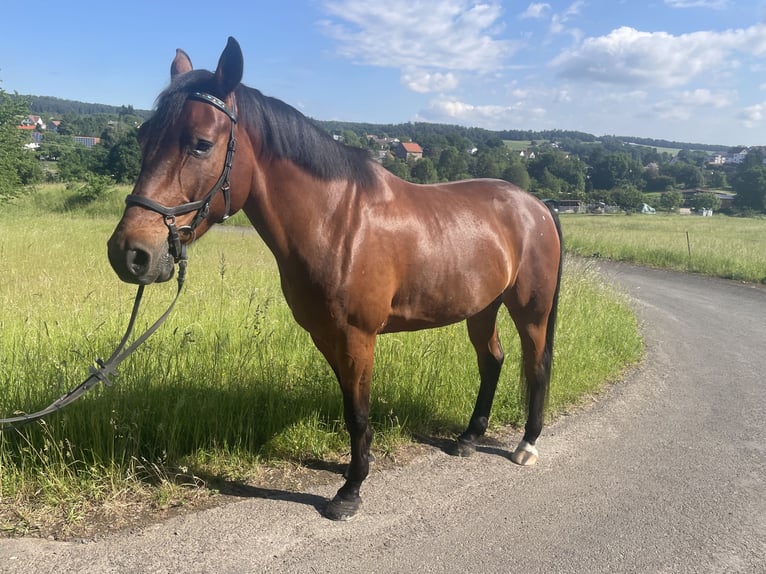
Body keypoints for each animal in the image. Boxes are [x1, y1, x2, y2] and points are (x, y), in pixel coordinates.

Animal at [107, 37, 563, 521]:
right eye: (143, 136)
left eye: (200, 144)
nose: (129, 253)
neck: (338, 221)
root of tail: (536, 205)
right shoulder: (326, 336)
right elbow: (349, 406)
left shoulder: (357, 337)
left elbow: (358, 412)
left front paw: (351, 490)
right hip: (482, 307)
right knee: (492, 360)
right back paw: (469, 438)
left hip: (530, 309)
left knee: (536, 365)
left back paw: (527, 444)